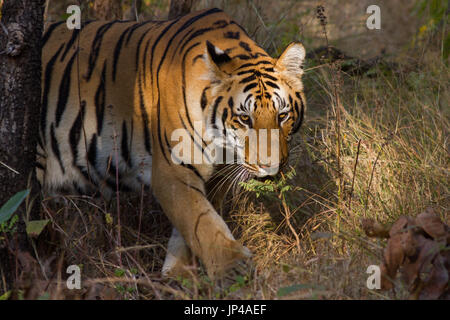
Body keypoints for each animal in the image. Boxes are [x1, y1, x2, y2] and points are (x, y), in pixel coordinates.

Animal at [37, 7, 306, 280]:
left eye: (282, 116)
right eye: (244, 118)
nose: (271, 167)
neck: (222, 145)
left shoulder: (216, 176)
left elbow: (197, 222)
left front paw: (178, 274)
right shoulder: (173, 169)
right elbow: (200, 219)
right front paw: (232, 268)